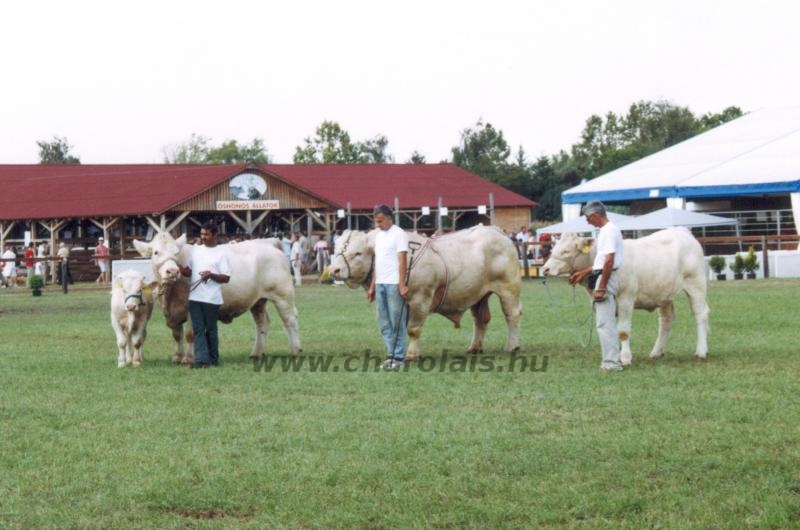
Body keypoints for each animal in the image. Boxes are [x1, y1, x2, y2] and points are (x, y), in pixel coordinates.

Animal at [134, 232, 304, 364]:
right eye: (156, 252)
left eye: (176, 253)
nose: (172, 271)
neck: (170, 295)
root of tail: (269, 243)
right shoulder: (171, 313)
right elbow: (177, 335)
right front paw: (177, 357)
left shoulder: (191, 309)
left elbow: (190, 334)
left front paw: (188, 359)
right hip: (258, 301)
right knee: (262, 323)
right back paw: (257, 352)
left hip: (283, 295)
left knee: (290, 319)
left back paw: (295, 350)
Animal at [330, 223, 520, 358]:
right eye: (336, 249)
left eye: (358, 253)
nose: (334, 270)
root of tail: (497, 231)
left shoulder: (420, 299)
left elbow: (413, 329)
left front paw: (412, 355)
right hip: (479, 295)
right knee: (480, 319)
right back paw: (474, 347)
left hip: (508, 288)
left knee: (512, 315)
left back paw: (512, 346)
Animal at [540, 227, 708, 364]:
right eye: (554, 248)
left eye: (566, 251)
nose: (545, 269)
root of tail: (683, 231)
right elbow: (610, 329)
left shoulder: (625, 298)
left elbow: (623, 331)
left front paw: (625, 358)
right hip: (664, 293)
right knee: (666, 320)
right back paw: (656, 352)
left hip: (696, 284)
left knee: (700, 314)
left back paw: (701, 352)